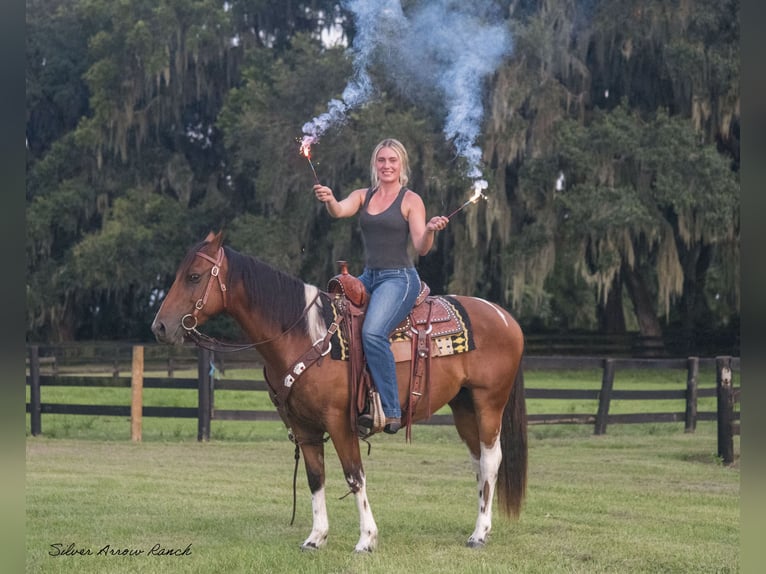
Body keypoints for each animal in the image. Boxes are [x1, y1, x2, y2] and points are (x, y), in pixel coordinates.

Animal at [150, 233, 528, 552]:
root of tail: (505, 316)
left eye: (194, 276)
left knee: (491, 460)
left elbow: (354, 475)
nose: (160, 327)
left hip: (488, 402)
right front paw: (316, 537)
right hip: (463, 405)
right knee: (478, 462)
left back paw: (479, 534)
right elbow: (315, 477)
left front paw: (366, 539)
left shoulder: (340, 422)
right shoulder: (304, 427)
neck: (305, 335)